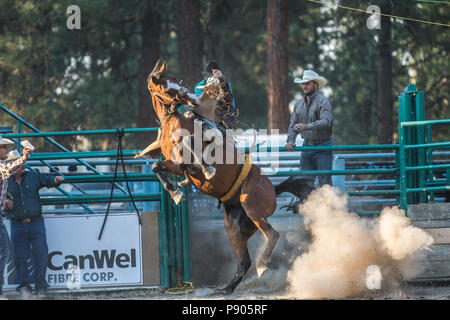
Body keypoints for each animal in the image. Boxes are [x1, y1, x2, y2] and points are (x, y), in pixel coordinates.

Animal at [142, 60, 280, 296]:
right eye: (162, 85)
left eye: (173, 79)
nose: (189, 98)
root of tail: (273, 188)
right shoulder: (177, 165)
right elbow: (156, 166)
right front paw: (176, 192)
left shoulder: (189, 153)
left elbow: (190, 144)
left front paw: (208, 170)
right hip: (234, 225)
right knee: (243, 261)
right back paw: (225, 289)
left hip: (251, 205)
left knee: (272, 234)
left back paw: (262, 266)